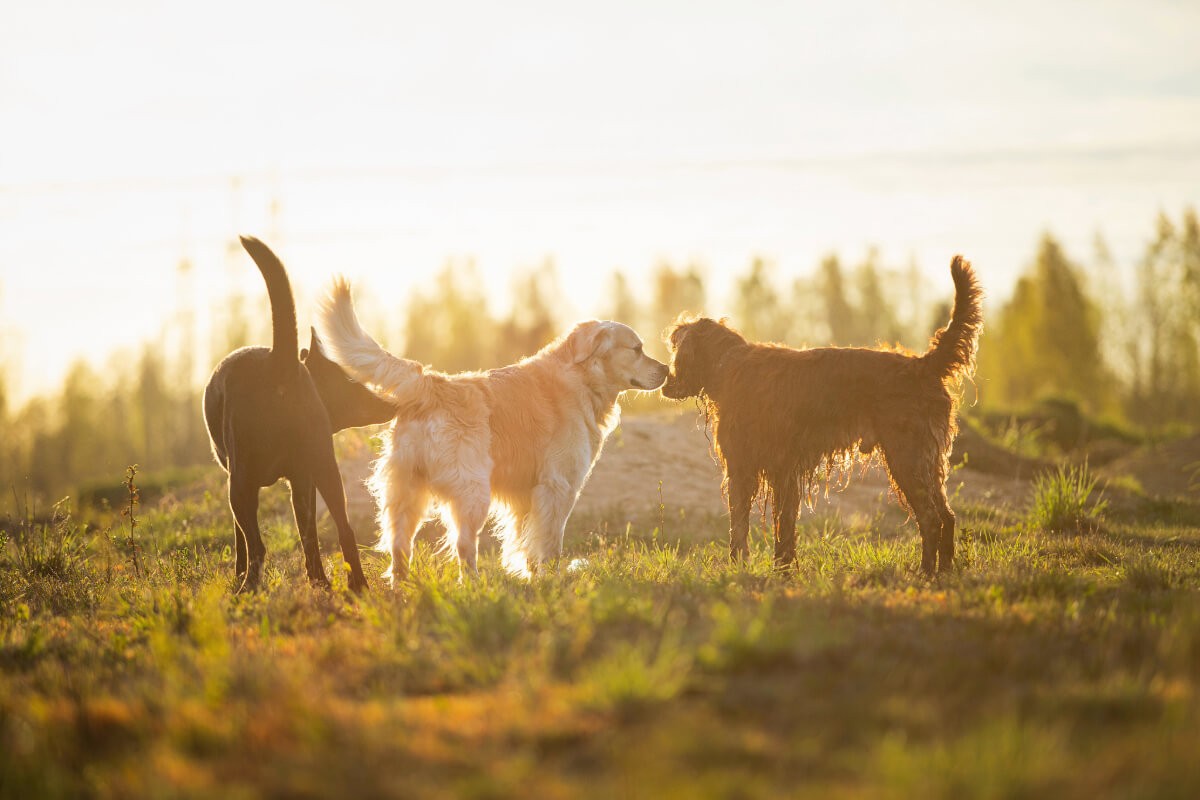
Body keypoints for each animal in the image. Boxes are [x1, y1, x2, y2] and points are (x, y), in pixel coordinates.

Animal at [204, 237, 393, 594]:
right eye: (354, 380)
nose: (391, 401)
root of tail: (281, 362)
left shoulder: (238, 481)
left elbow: (240, 541)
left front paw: (237, 575)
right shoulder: (304, 480)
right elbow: (310, 537)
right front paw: (318, 577)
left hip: (241, 485)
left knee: (257, 546)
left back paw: (247, 589)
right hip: (327, 472)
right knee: (344, 530)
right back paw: (351, 584)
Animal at [662, 256, 979, 575]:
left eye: (675, 349)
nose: (665, 377)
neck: (728, 366)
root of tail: (923, 365)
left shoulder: (748, 468)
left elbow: (742, 527)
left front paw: (743, 567)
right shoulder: (781, 472)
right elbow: (783, 526)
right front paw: (782, 569)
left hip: (907, 457)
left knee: (931, 518)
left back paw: (925, 572)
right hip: (927, 461)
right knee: (947, 516)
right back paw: (943, 571)